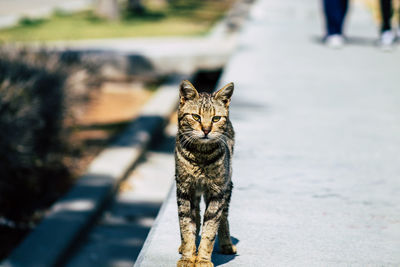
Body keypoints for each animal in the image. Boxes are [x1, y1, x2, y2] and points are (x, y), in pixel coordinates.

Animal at [176, 80, 238, 267]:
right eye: (196, 117)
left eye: (216, 118)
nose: (206, 129)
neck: (201, 155)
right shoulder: (184, 189)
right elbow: (186, 226)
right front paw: (188, 257)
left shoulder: (218, 191)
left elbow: (210, 229)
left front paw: (202, 259)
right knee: (195, 215)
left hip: (227, 185)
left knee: (223, 216)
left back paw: (226, 244)